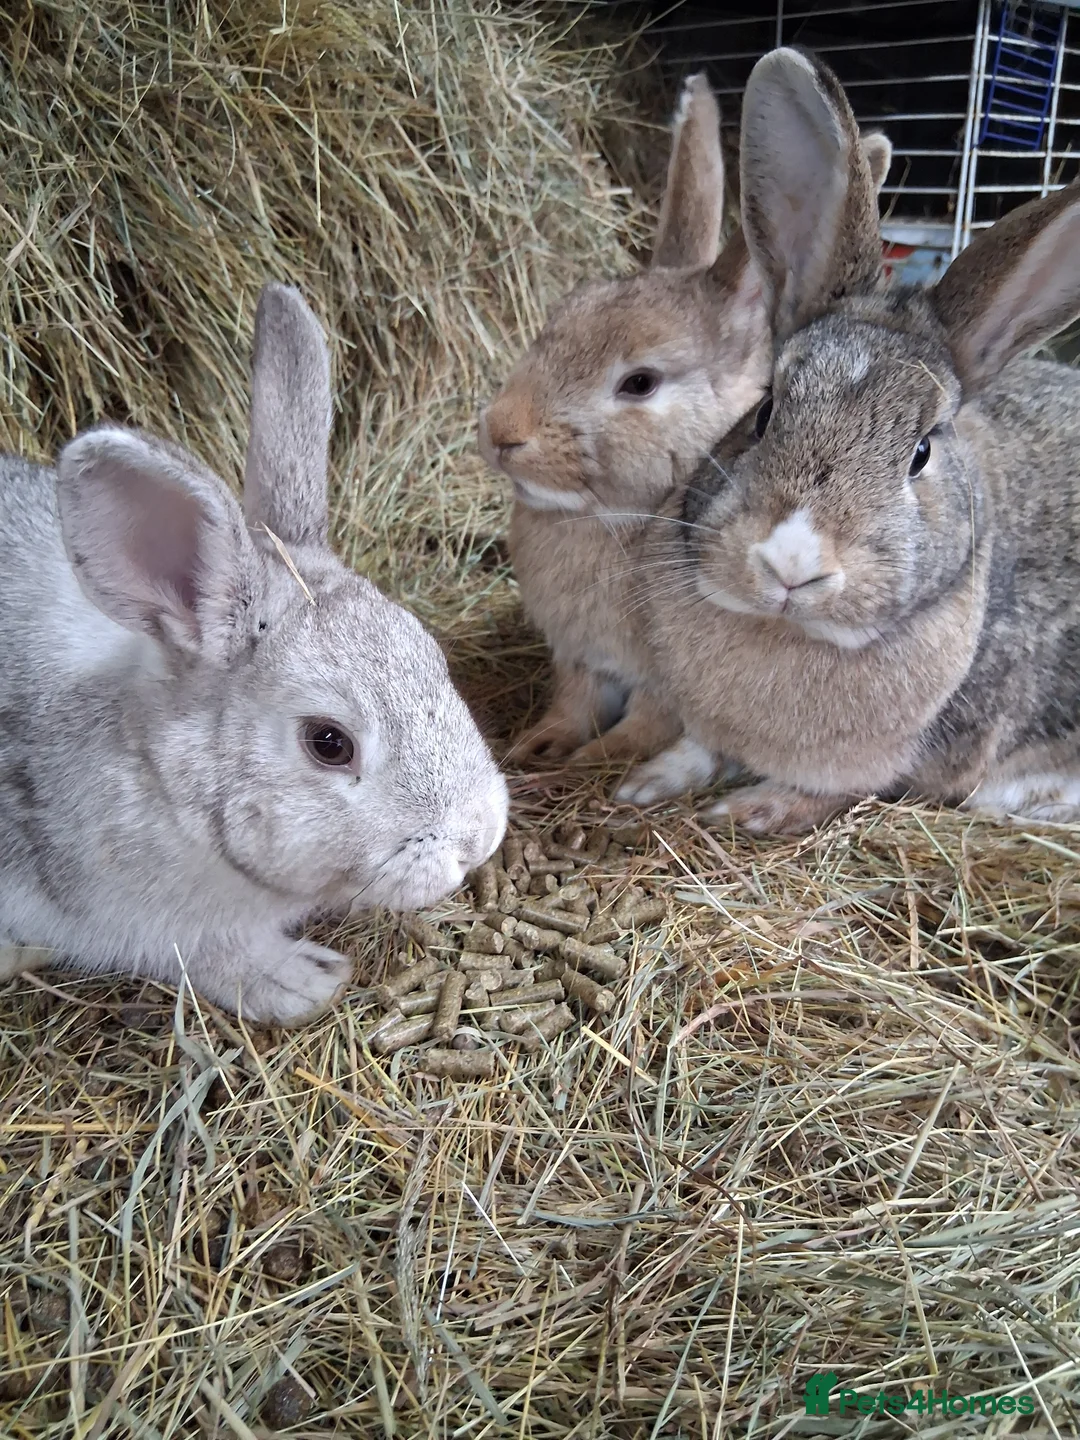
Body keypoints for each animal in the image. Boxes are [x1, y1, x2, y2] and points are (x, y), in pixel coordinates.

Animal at [479, 73, 892, 770]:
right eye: (557, 319)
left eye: (640, 383)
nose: (501, 433)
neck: (614, 520)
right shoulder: (581, 663)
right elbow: (572, 705)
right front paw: (537, 746)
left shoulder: (666, 683)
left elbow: (644, 725)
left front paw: (592, 763)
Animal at [617, 46, 1080, 836]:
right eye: (766, 411)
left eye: (921, 453)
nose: (790, 564)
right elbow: (696, 749)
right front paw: (645, 782)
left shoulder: (915, 765)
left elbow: (841, 790)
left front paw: (753, 809)